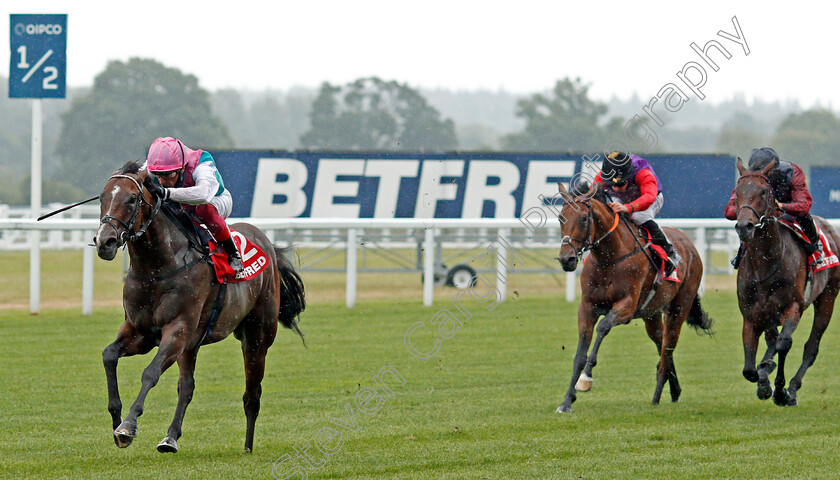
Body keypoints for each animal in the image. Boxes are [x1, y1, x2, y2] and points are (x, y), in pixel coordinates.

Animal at [95, 163, 306, 452]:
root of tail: (268, 245)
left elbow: (150, 373)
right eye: (102, 198)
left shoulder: (177, 330)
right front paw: (116, 419)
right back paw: (170, 437)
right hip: (192, 344)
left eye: (131, 199)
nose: (104, 242)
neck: (158, 268)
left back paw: (248, 447)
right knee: (187, 386)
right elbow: (109, 355)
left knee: (252, 393)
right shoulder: (141, 332)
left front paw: (128, 426)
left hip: (257, 337)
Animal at [556, 182, 712, 414]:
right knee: (662, 346)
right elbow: (579, 354)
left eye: (584, 218)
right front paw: (567, 401)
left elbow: (603, 327)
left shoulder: (626, 307)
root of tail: (689, 245)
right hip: (652, 316)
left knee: (667, 350)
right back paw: (674, 390)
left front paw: (586, 379)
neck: (609, 258)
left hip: (679, 308)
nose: (567, 259)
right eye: (560, 217)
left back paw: (656, 397)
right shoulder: (587, 307)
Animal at [728, 158, 840, 404]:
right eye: (737, 192)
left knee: (811, 347)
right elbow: (750, 368)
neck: (766, 264)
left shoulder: (793, 307)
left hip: (828, 297)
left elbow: (784, 343)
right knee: (772, 340)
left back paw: (793, 388)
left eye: (764, 191)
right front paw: (763, 380)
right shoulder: (751, 314)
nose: (744, 227)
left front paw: (780, 390)